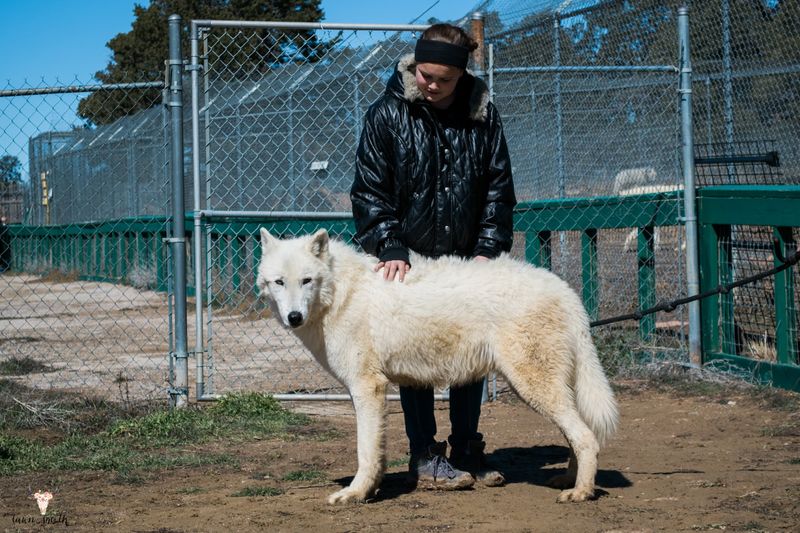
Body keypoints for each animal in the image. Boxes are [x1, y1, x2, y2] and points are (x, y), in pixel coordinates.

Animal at [256, 228, 619, 505]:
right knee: (579, 435)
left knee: (586, 437)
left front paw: (356, 494)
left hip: (533, 387)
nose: (293, 317)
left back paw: (581, 492)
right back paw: (569, 481)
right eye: (279, 282)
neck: (341, 295)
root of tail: (566, 291)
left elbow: (366, 452)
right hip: (545, 390)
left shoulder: (367, 387)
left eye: (307, 280)